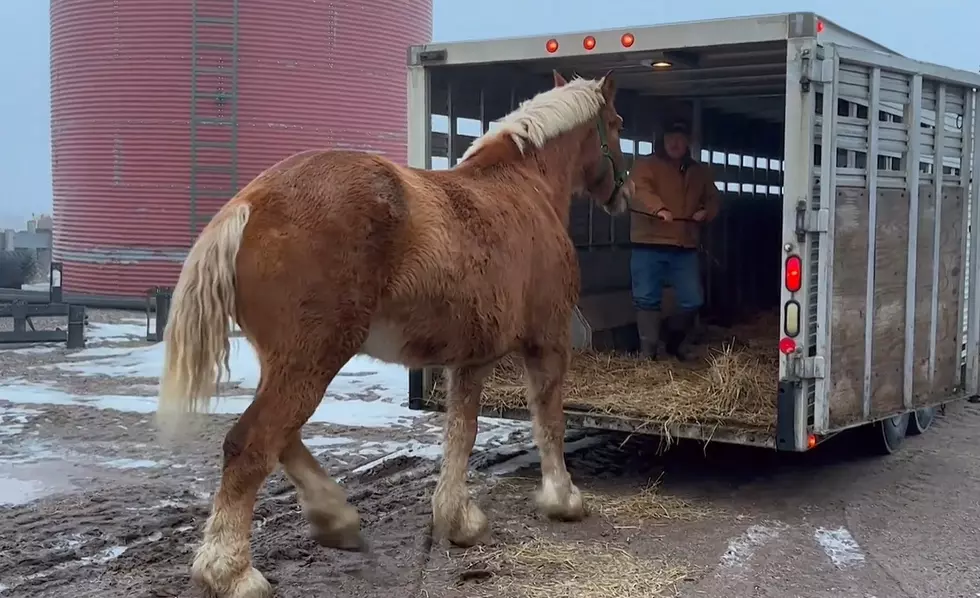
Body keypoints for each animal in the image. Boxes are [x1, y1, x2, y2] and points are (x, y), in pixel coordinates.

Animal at [156, 69, 632, 598]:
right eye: (617, 123)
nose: (623, 193)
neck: (523, 187)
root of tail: (249, 202)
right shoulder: (546, 342)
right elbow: (549, 421)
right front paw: (563, 499)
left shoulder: (471, 359)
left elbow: (460, 433)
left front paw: (458, 520)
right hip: (312, 360)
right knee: (252, 445)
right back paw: (232, 572)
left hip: (288, 363)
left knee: (283, 439)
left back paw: (334, 518)